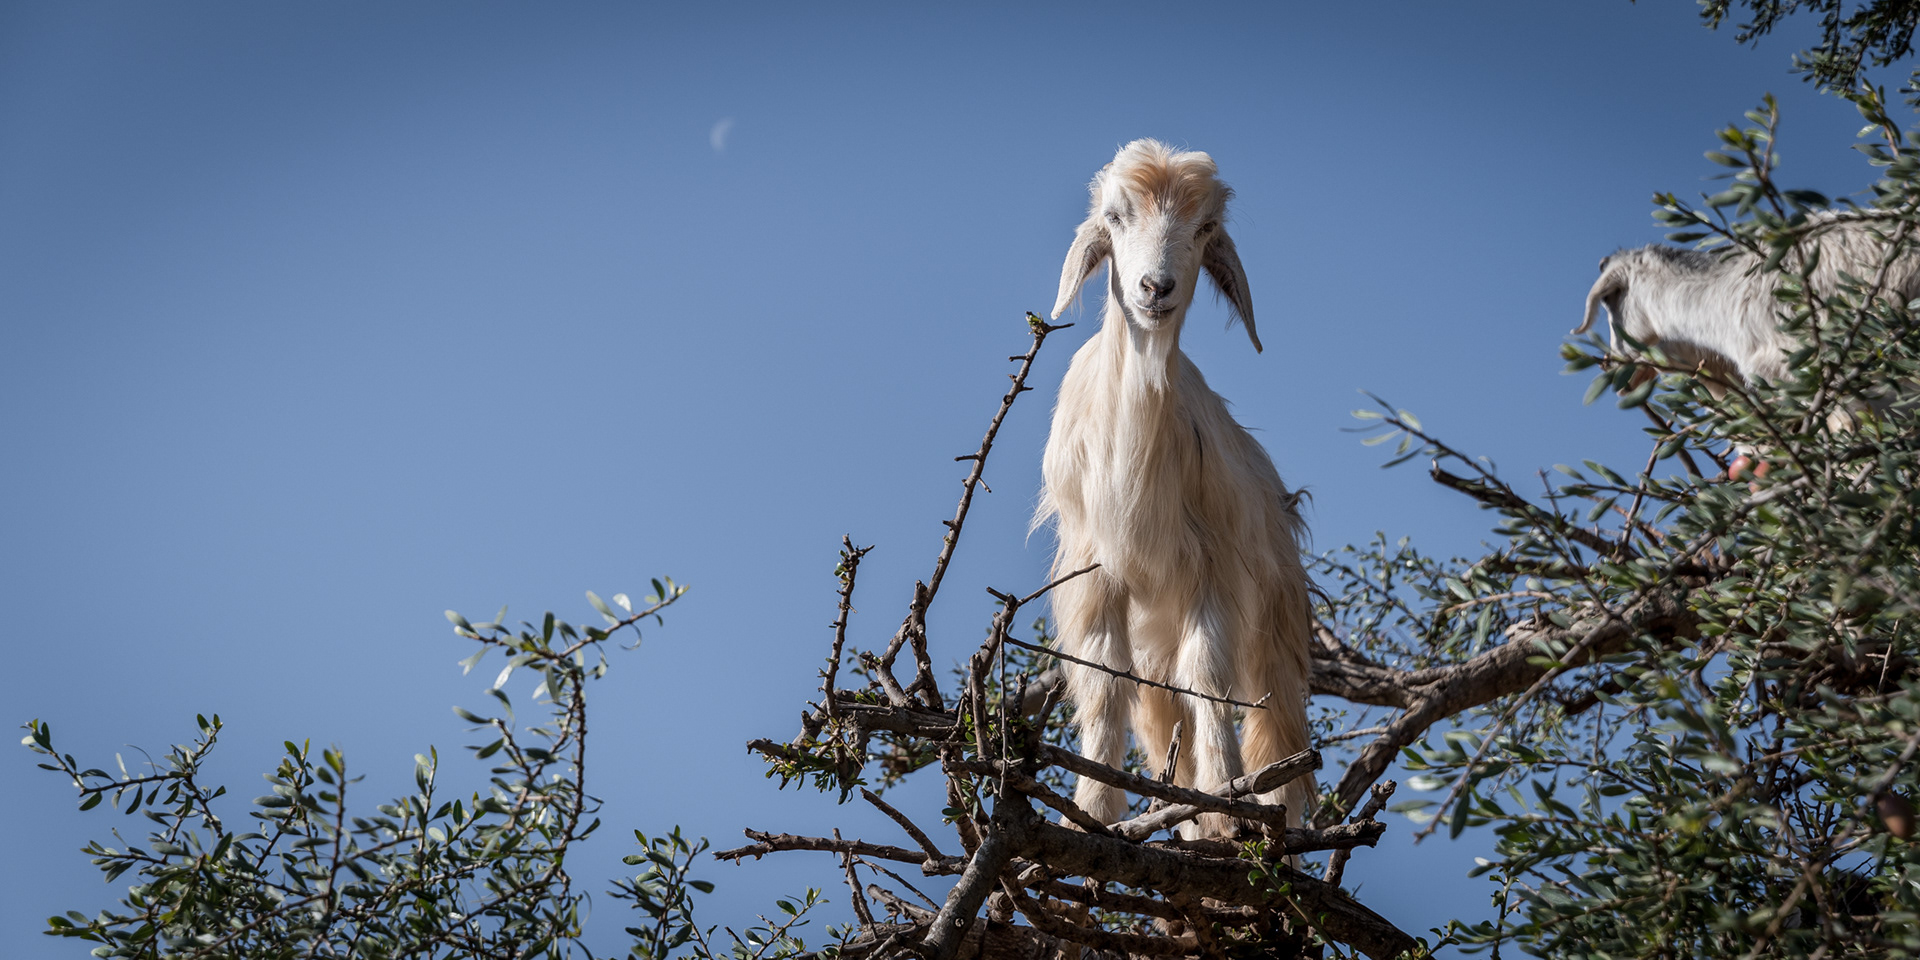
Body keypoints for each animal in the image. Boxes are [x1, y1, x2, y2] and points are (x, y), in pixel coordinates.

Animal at [1037, 140, 1314, 837]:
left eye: (1206, 228)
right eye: (1114, 218)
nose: (1154, 288)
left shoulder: (1212, 569)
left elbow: (1207, 679)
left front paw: (1225, 803)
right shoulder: (1094, 573)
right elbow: (1105, 684)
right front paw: (1092, 814)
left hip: (1276, 620)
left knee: (1273, 724)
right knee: (1163, 720)